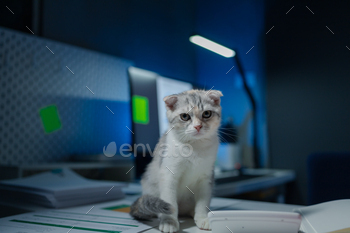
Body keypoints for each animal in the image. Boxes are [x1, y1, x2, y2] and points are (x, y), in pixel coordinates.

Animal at [130, 89, 223, 233]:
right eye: (184, 116)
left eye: (207, 114)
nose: (198, 126)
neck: (194, 147)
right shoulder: (168, 174)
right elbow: (170, 201)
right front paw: (169, 222)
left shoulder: (206, 178)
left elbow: (203, 202)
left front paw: (202, 217)